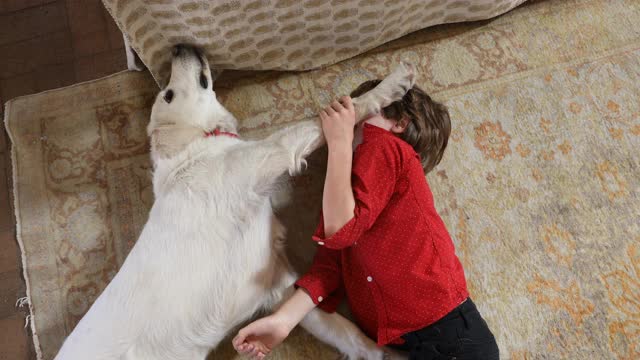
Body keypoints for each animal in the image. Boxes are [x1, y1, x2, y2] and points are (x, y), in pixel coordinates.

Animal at [55, 45, 416, 360]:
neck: (195, 147)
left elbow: (349, 334)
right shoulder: (272, 152)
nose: (178, 46)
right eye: (168, 94)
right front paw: (392, 84)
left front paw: (388, 353)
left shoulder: (277, 284)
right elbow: (330, 116)